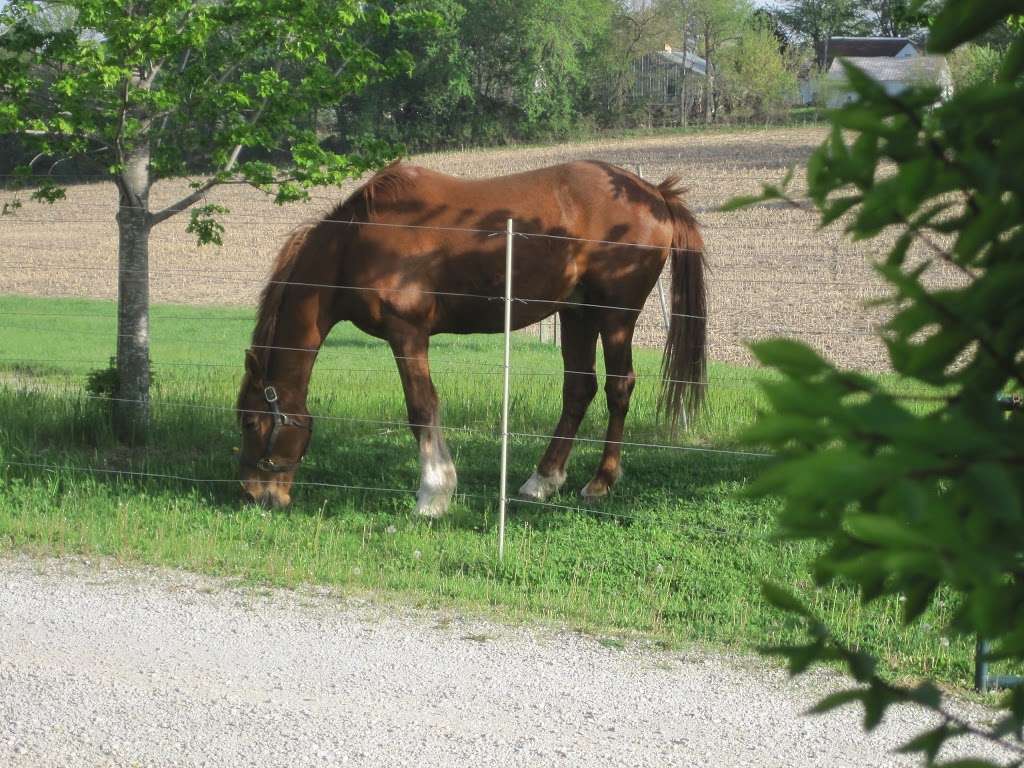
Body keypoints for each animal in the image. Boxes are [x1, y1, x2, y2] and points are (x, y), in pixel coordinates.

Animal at [237, 159, 704, 514]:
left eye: (250, 421)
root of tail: (654, 192)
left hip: (615, 315)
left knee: (618, 387)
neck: (355, 244)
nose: (255, 494)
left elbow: (421, 408)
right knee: (579, 389)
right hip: (577, 313)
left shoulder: (407, 333)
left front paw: (434, 493)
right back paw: (542, 480)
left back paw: (601, 481)